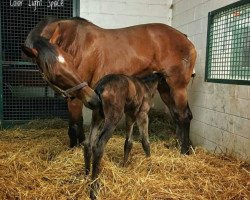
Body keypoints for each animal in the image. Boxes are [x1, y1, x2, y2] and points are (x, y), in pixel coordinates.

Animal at [22, 17, 196, 155]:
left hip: (178, 87)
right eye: (55, 73)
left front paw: (74, 150)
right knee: (176, 115)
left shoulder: (76, 97)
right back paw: (178, 145)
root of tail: (184, 37)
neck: (73, 39)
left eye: (71, 61)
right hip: (165, 88)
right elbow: (77, 125)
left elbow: (75, 126)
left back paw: (184, 151)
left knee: (184, 116)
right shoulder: (75, 94)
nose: (94, 98)